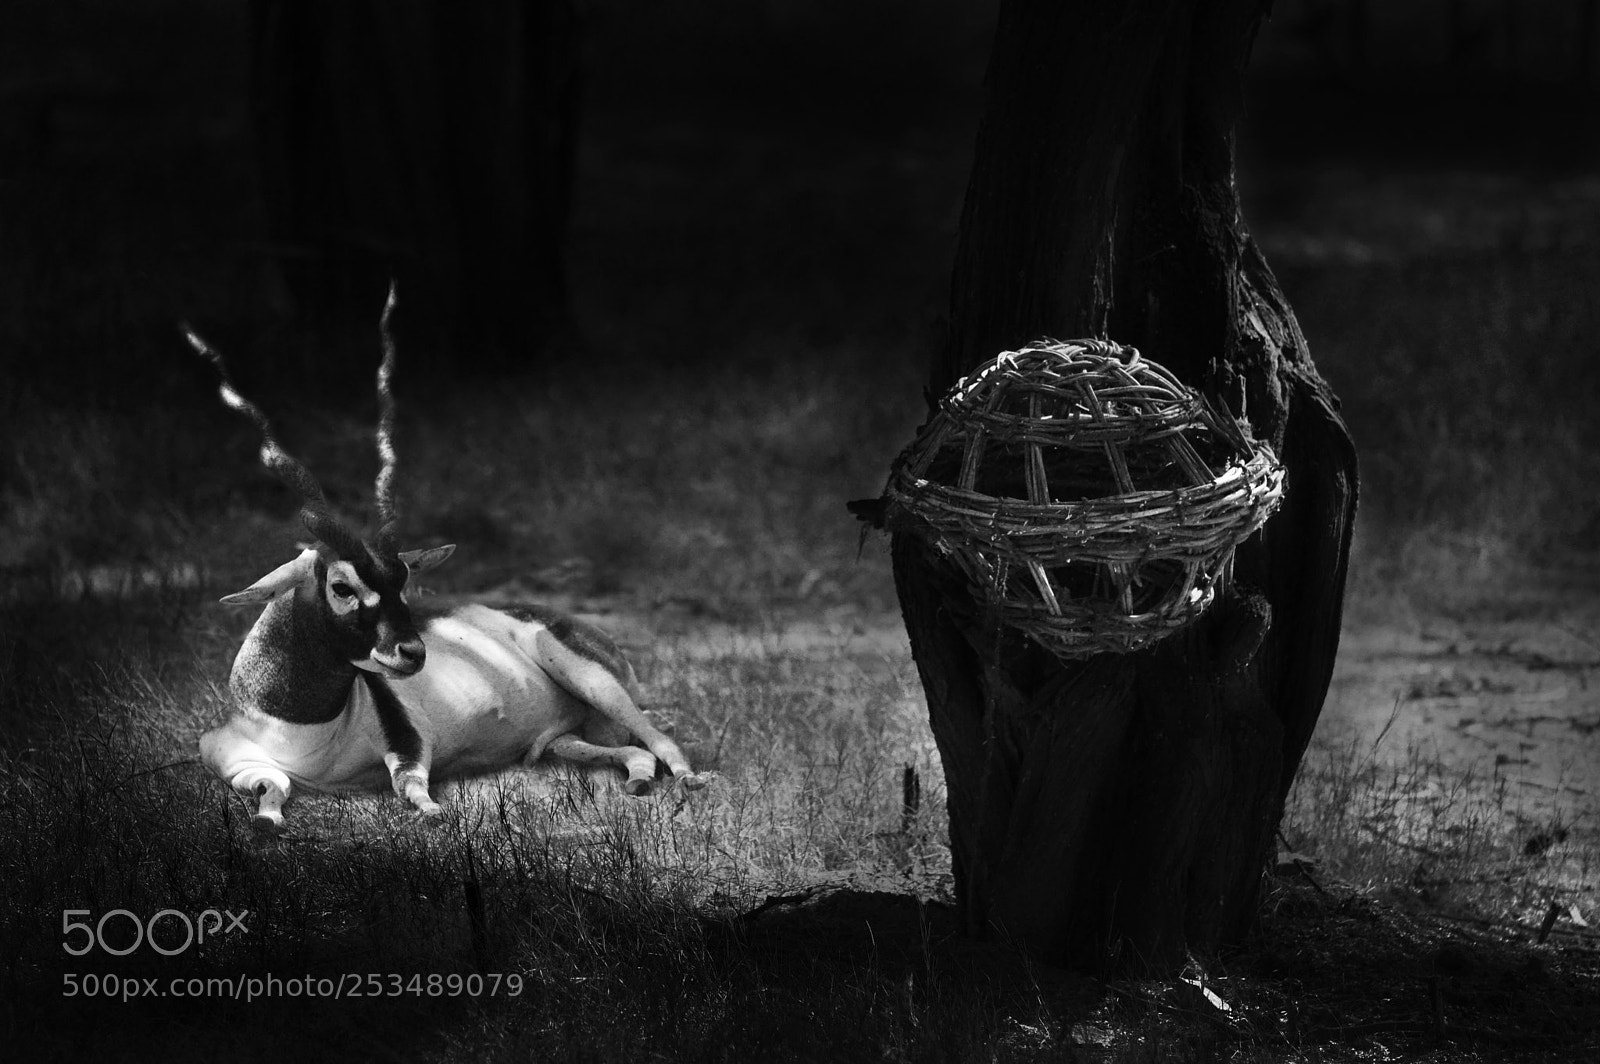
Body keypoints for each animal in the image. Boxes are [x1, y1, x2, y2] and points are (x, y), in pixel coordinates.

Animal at [188, 287, 702, 835]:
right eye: (342, 586)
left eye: (403, 580)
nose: (414, 653)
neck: (297, 728)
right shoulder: (233, 760)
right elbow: (274, 787)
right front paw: (267, 819)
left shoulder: (409, 744)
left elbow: (410, 787)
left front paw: (434, 812)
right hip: (568, 739)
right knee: (634, 753)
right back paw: (638, 783)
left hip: (591, 680)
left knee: (662, 742)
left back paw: (687, 782)